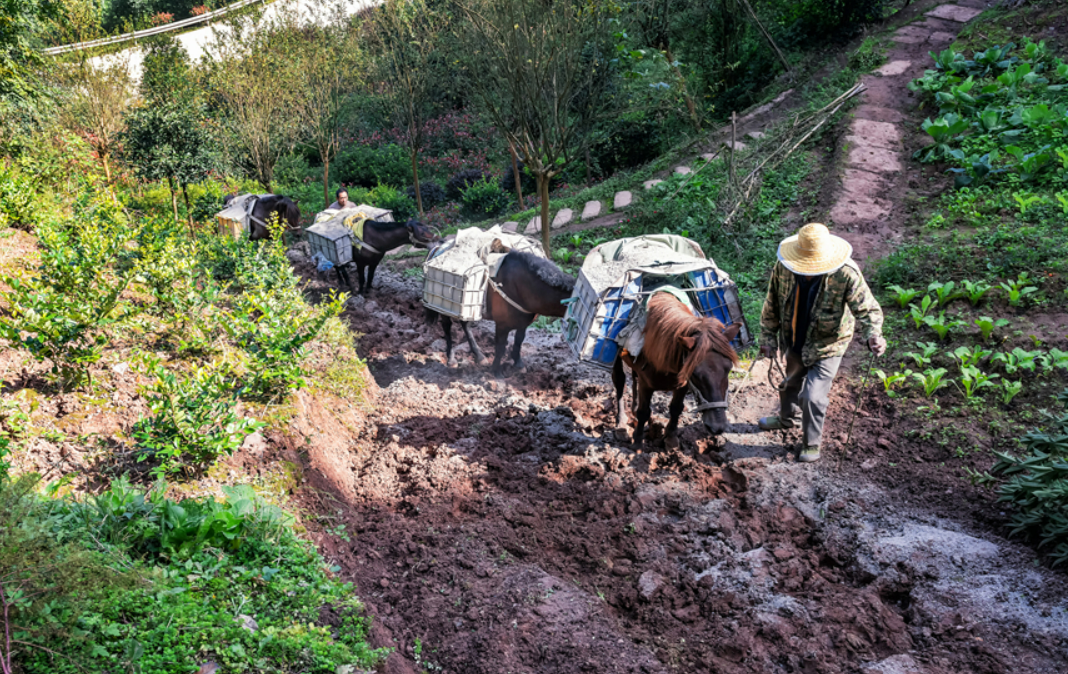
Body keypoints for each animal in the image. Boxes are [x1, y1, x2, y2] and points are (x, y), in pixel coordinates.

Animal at [425, 251, 576, 371]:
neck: (522, 285)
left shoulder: (524, 322)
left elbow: (519, 341)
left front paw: (518, 363)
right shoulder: (502, 324)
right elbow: (501, 346)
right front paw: (496, 371)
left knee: (465, 324)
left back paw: (479, 356)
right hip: (445, 306)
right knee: (447, 326)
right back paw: (451, 359)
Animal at [615, 292, 739, 450]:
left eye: (728, 368)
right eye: (695, 374)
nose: (717, 427)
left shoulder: (683, 384)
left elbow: (676, 408)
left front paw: (671, 438)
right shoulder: (646, 385)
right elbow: (643, 412)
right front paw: (637, 442)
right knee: (619, 382)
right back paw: (621, 422)